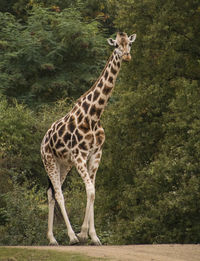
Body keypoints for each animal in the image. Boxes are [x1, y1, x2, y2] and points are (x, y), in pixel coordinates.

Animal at [41, 31, 137, 245]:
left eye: (129, 44)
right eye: (116, 45)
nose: (127, 56)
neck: (94, 116)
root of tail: (43, 141)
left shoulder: (95, 154)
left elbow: (92, 191)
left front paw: (93, 236)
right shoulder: (79, 155)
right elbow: (90, 190)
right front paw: (83, 234)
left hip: (63, 164)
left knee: (51, 192)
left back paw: (52, 239)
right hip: (49, 160)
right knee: (58, 193)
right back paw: (71, 237)